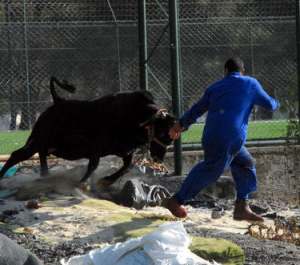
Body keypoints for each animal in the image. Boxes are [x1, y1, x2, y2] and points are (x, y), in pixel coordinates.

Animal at [0, 77, 176, 185]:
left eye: (172, 138)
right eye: (162, 133)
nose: (159, 158)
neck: (135, 116)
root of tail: (58, 101)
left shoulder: (125, 151)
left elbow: (127, 166)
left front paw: (107, 181)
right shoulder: (96, 148)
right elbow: (93, 166)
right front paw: (81, 183)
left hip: (45, 143)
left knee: (36, 155)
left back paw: (45, 174)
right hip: (39, 139)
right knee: (18, 155)